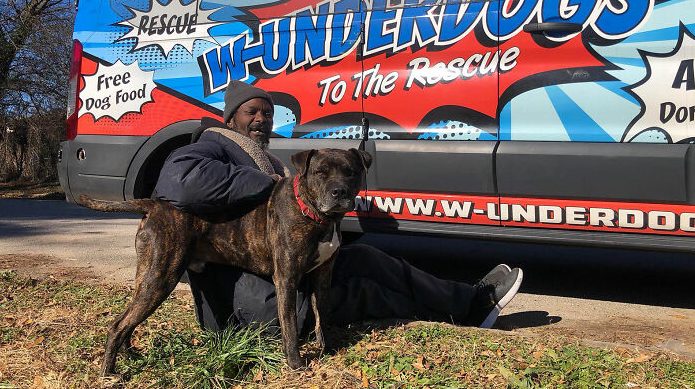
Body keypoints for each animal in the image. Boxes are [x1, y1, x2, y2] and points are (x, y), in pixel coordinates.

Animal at [80, 148, 376, 372]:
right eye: (320, 173)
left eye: (350, 172)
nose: (339, 192)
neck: (315, 215)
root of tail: (154, 204)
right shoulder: (287, 280)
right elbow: (290, 325)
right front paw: (295, 363)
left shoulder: (323, 276)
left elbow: (322, 315)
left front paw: (328, 349)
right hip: (160, 277)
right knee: (118, 325)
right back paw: (110, 372)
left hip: (149, 277)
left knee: (128, 321)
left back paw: (130, 356)